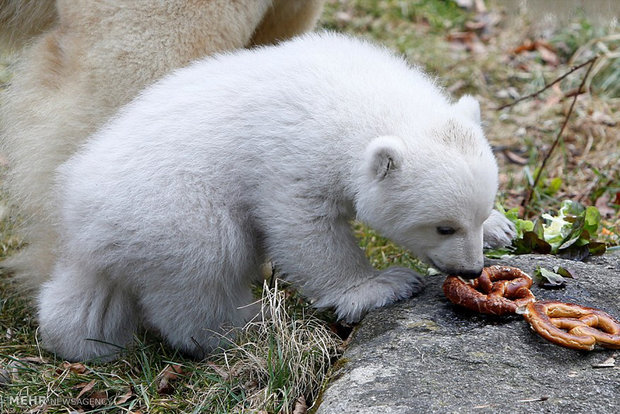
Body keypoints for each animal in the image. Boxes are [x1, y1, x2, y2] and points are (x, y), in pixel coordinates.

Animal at [36, 33, 516, 362]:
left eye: (476, 215)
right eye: (442, 227)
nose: (472, 270)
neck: (355, 90)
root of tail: (78, 220)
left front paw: (502, 228)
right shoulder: (292, 154)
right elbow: (304, 227)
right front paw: (381, 286)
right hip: (168, 204)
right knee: (206, 262)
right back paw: (251, 325)